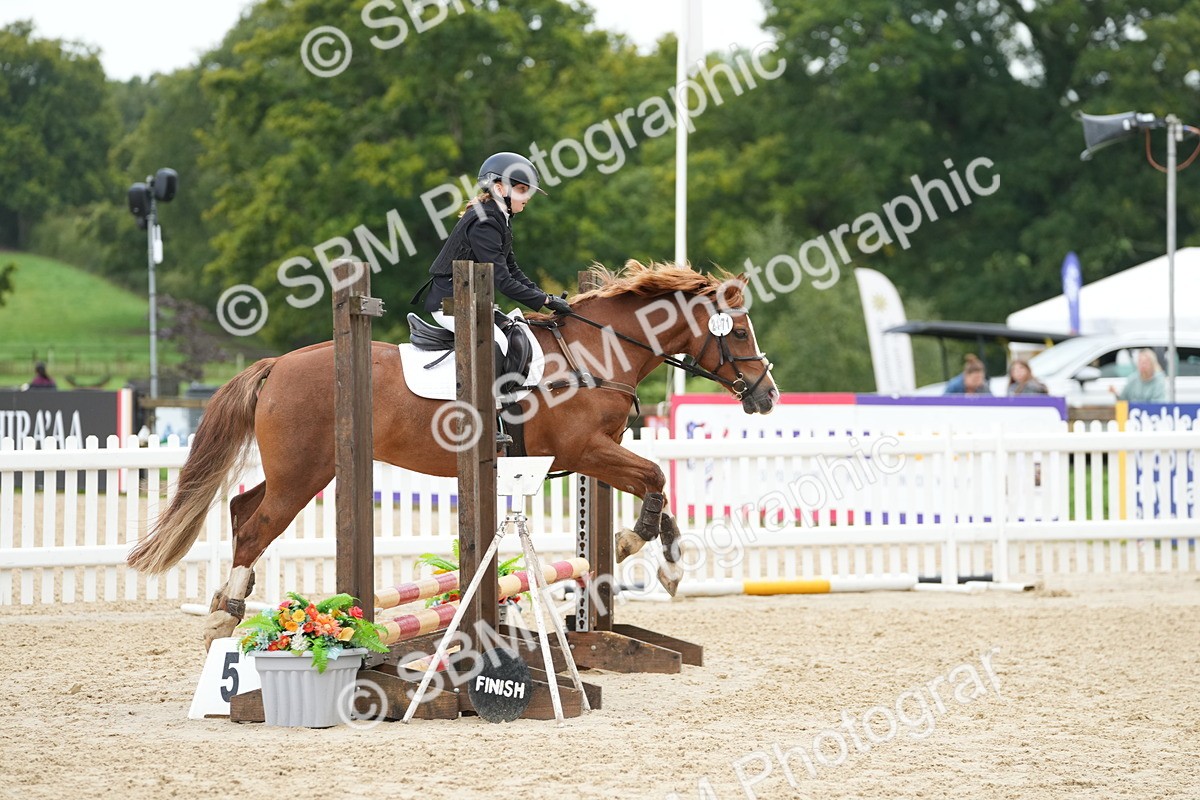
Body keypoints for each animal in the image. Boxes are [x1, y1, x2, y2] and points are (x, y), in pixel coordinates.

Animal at [126, 261, 778, 648]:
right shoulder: (586, 450)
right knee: (258, 524)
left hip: (303, 470)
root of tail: (277, 365)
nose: (767, 395)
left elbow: (655, 486)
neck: (597, 351)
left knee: (243, 512)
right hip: (303, 473)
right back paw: (225, 615)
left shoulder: (596, 454)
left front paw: (659, 562)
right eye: (741, 332)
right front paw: (634, 549)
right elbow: (654, 479)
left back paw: (225, 609)